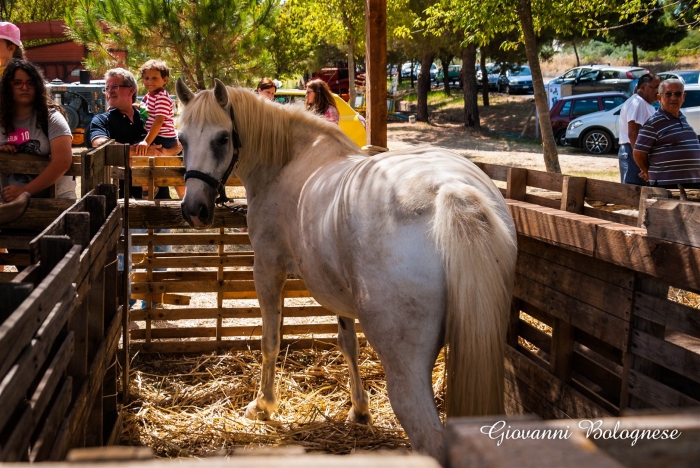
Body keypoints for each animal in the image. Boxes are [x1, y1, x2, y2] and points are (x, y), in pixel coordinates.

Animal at [173, 78, 516, 462]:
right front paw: (360, 409)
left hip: (406, 371)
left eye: (222, 138)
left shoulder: (267, 267)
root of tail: (450, 189)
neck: (290, 160)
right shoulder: (338, 289)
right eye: (182, 139)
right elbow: (347, 343)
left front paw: (263, 405)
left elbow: (270, 339)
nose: (194, 210)